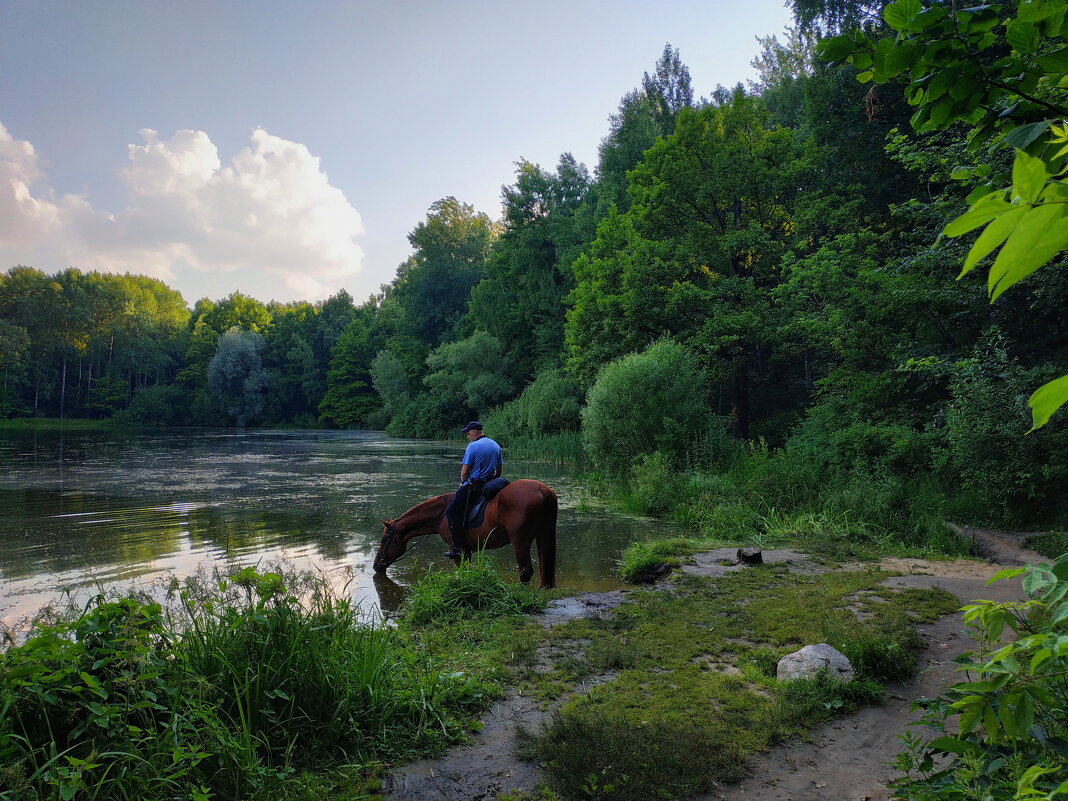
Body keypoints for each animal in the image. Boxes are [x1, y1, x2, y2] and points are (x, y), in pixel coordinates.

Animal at [373, 482, 559, 589]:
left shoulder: (458, 550)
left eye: (384, 539)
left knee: (526, 571)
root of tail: (542, 489)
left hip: (520, 541)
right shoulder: (467, 550)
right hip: (543, 534)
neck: (442, 513)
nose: (376, 566)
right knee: (545, 566)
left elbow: (462, 569)